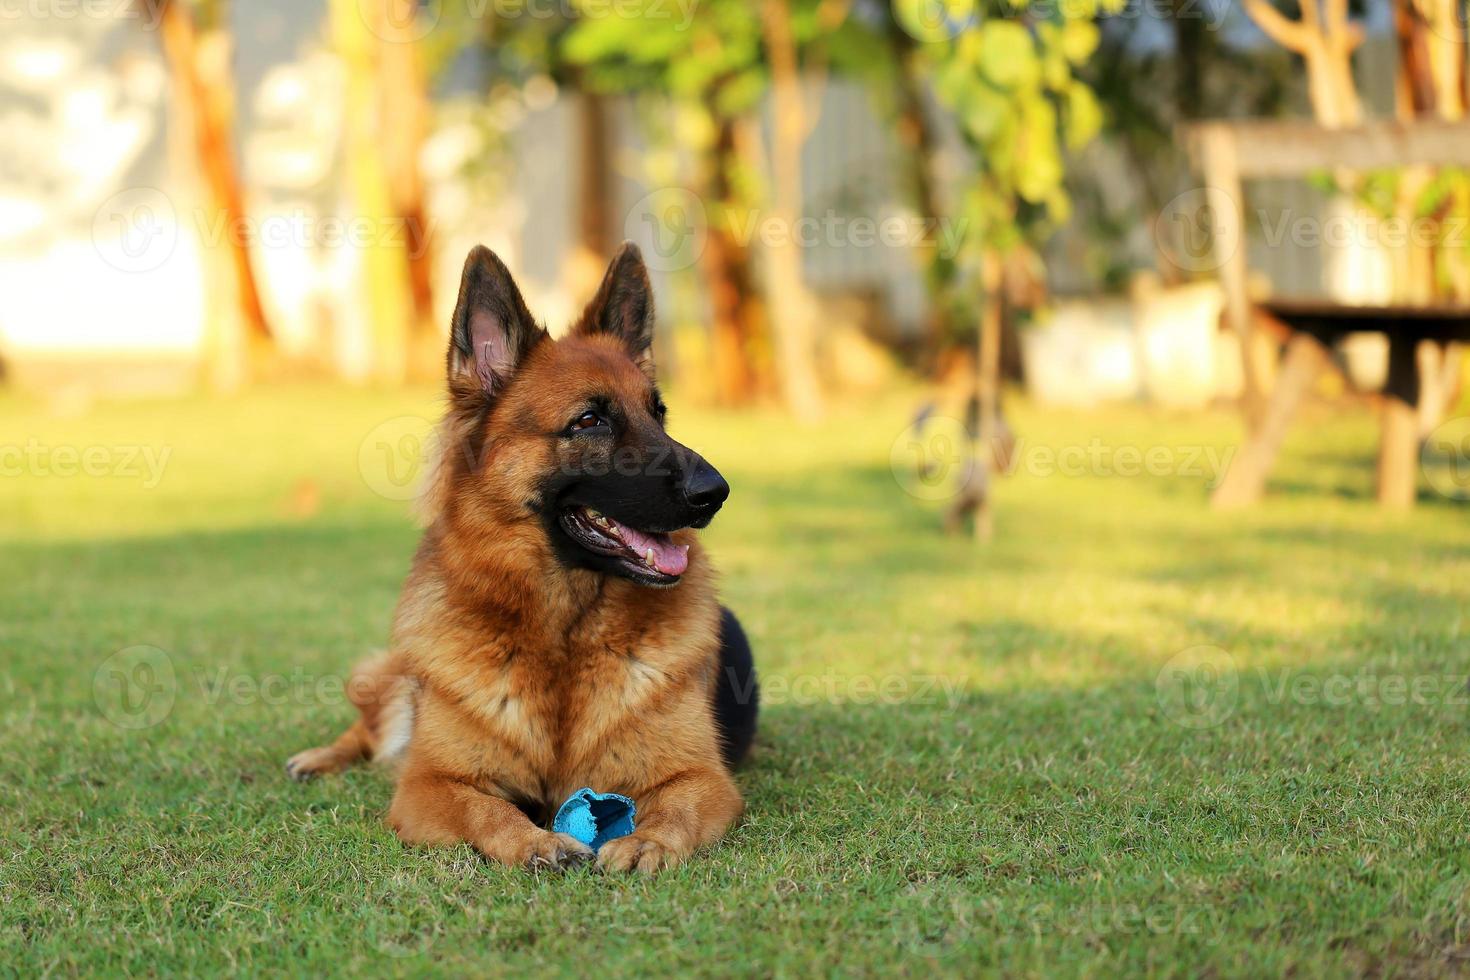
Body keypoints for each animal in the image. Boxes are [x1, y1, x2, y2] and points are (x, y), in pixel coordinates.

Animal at [292, 243, 764, 875]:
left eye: (659, 413)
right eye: (590, 420)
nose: (715, 491)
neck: (560, 638)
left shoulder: (702, 779)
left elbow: (675, 812)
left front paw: (647, 842)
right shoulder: (428, 785)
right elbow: (487, 809)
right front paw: (536, 841)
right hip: (394, 679)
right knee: (370, 724)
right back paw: (319, 757)